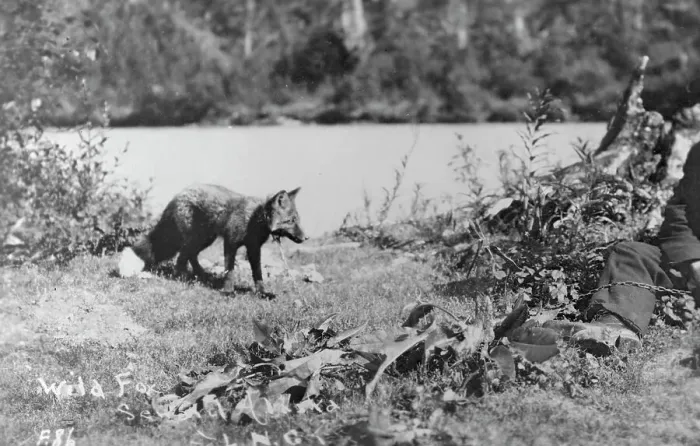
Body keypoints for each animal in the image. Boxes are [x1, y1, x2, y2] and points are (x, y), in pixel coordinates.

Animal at [130, 184, 308, 296]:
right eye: (291, 221)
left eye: (298, 220)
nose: (306, 237)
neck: (253, 219)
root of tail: (179, 193)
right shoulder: (230, 242)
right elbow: (230, 271)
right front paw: (228, 291)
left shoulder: (253, 248)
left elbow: (257, 274)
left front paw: (262, 293)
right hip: (196, 239)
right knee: (182, 257)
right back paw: (181, 277)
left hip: (204, 240)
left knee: (190, 256)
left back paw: (201, 275)